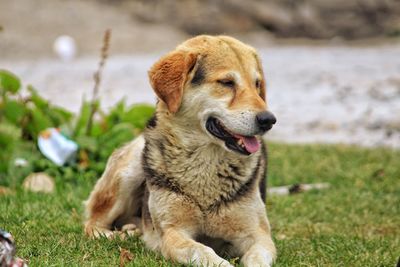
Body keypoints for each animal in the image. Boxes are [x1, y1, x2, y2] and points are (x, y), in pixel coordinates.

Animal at [83, 35, 278, 267]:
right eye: (227, 83)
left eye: (257, 84)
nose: (269, 120)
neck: (206, 165)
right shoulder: (173, 232)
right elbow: (201, 251)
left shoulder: (258, 235)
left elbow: (257, 257)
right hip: (129, 170)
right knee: (91, 223)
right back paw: (116, 235)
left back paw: (131, 231)